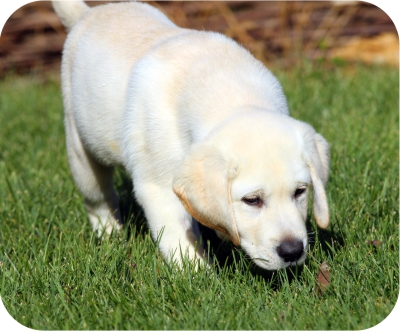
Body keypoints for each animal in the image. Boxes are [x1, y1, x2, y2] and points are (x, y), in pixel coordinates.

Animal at [52, 0, 328, 272]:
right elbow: (178, 238)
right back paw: (111, 235)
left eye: (300, 192)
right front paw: (198, 275)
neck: (231, 93)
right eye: (252, 200)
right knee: (99, 198)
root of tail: (89, 13)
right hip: (81, 149)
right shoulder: (158, 185)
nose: (292, 251)